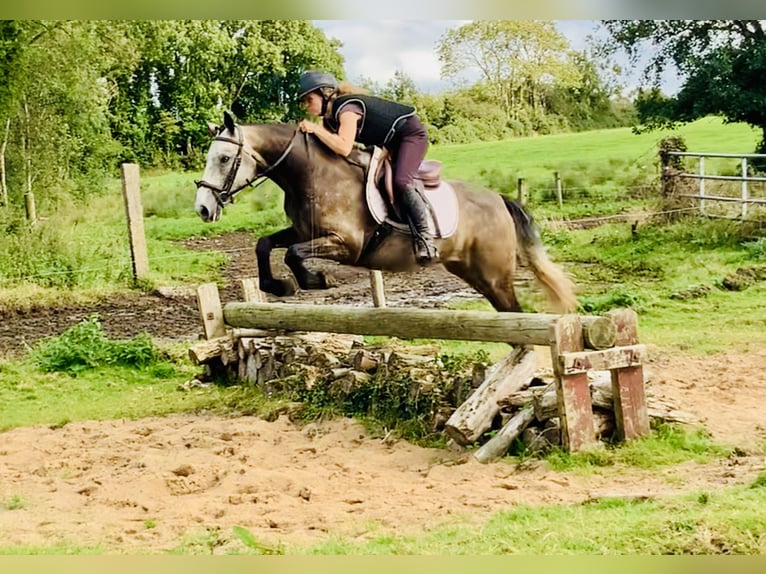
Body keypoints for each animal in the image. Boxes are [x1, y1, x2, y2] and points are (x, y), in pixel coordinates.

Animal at [195, 112, 580, 316]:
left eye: (224, 159)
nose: (202, 208)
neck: (312, 174)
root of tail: (499, 200)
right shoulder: (304, 231)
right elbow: (265, 244)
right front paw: (278, 286)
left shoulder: (346, 244)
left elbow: (291, 253)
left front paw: (316, 280)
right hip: (474, 272)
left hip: (495, 274)